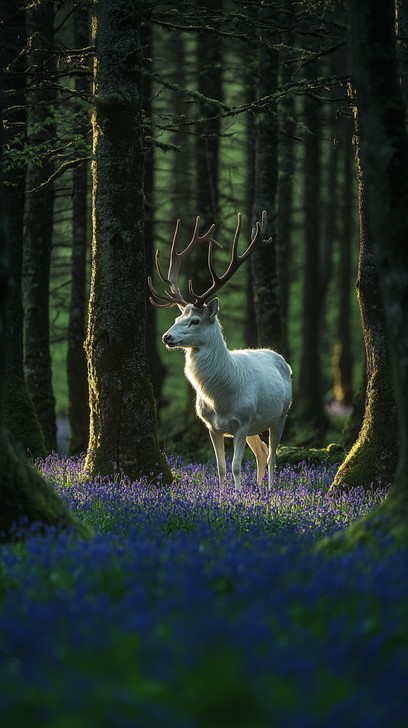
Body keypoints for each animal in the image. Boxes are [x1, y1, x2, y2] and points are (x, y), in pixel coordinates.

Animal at [148, 211, 292, 491]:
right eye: (178, 317)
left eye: (195, 321)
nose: (166, 337)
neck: (220, 397)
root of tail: (279, 357)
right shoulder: (212, 427)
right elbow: (221, 467)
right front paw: (224, 495)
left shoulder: (242, 421)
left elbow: (236, 466)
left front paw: (237, 496)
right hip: (256, 427)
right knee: (261, 454)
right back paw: (259, 488)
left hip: (280, 415)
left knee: (272, 456)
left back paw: (270, 489)